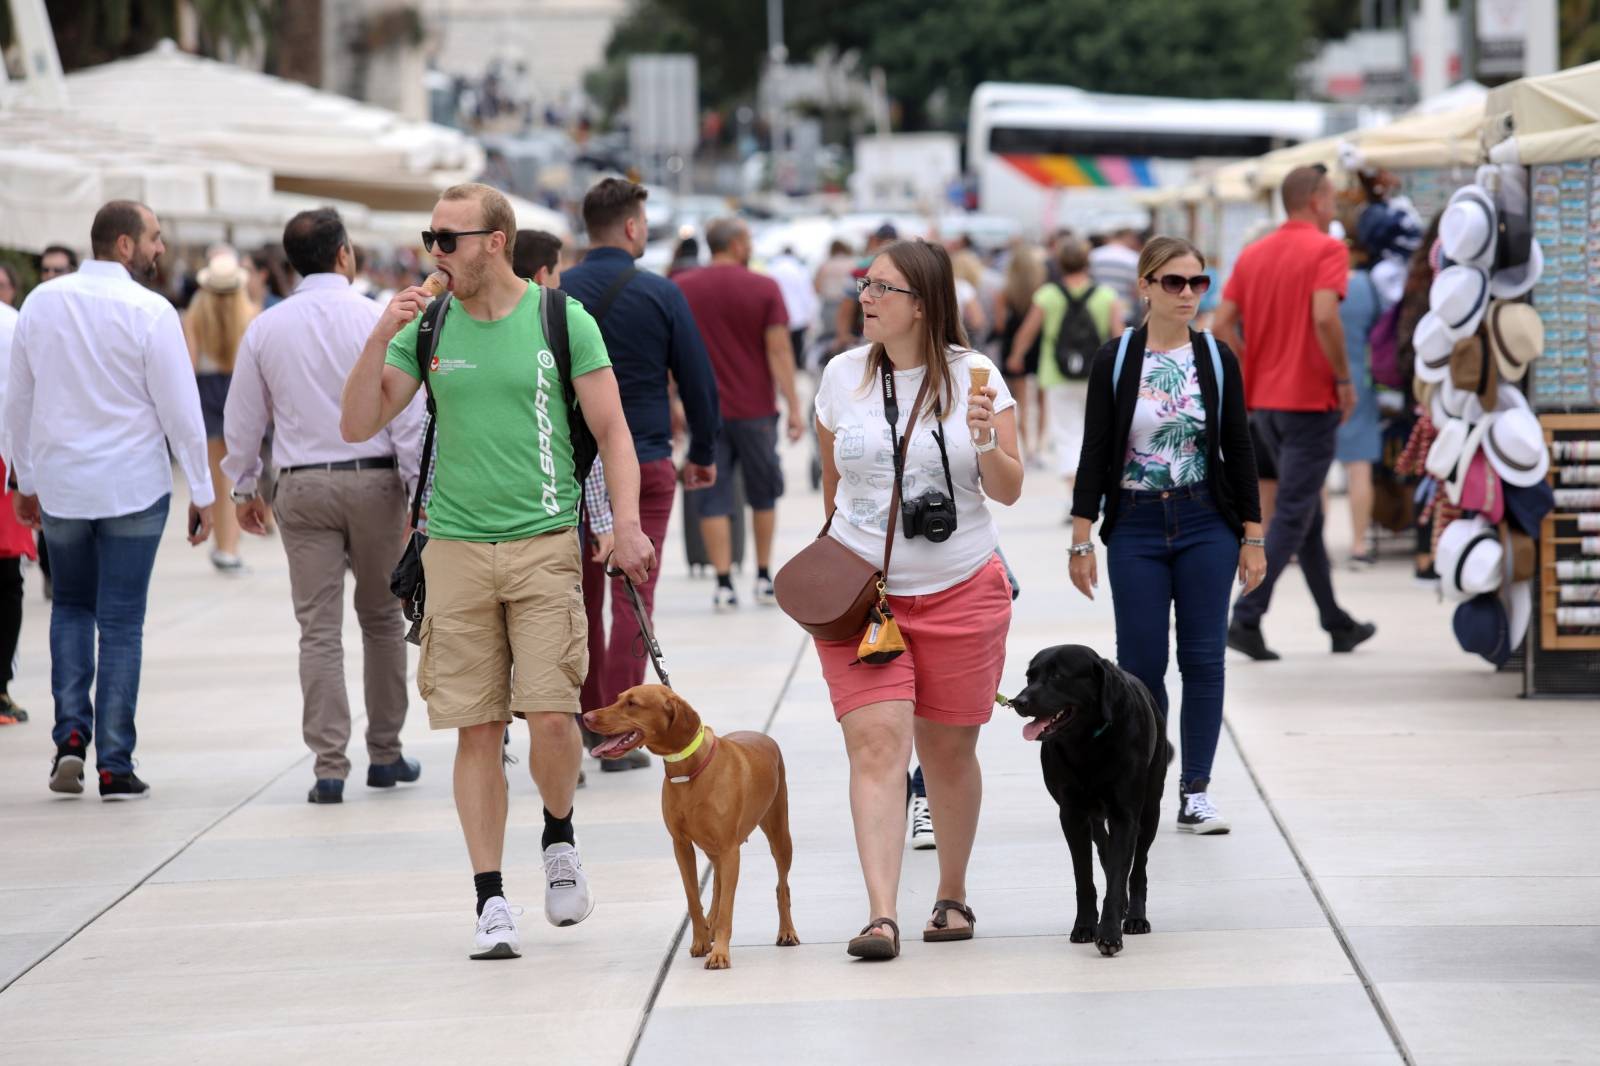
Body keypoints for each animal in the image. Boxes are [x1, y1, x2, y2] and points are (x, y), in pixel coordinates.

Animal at [582, 685, 800, 966]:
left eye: (632, 703)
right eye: (619, 698)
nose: (586, 717)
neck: (687, 770)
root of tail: (765, 737)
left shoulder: (729, 849)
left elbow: (728, 906)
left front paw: (720, 953)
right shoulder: (682, 846)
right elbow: (693, 898)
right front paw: (701, 941)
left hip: (779, 836)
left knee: (782, 886)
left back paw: (786, 931)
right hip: (712, 849)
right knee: (717, 883)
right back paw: (711, 923)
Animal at [1004, 643, 1171, 947]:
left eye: (1058, 676)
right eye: (1029, 677)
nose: (1018, 701)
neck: (1087, 743)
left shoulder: (1125, 815)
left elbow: (1119, 874)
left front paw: (1109, 933)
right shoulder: (1071, 814)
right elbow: (1084, 876)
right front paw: (1085, 925)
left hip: (1151, 807)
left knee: (1138, 866)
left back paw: (1135, 916)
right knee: (1105, 849)